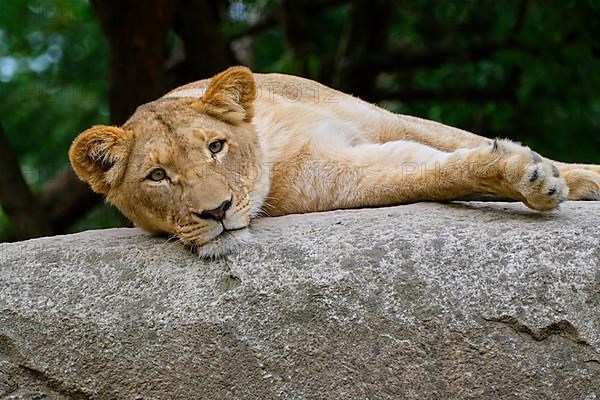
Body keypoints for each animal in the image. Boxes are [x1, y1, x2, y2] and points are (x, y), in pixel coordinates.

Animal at [70, 65, 600, 256]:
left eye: (216, 147)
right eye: (158, 176)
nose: (215, 212)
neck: (270, 142)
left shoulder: (382, 119)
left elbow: (455, 139)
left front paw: (575, 176)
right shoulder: (341, 177)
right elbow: (431, 172)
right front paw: (527, 176)